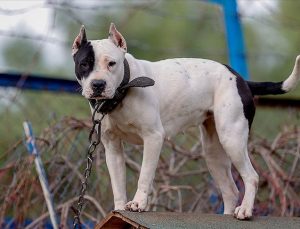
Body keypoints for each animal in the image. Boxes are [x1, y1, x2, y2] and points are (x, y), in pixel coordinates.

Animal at [72, 23, 300, 220]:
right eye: (84, 64)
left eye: (112, 63)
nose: (98, 84)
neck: (124, 90)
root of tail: (239, 78)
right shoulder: (112, 148)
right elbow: (117, 183)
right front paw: (119, 210)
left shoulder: (153, 138)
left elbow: (144, 175)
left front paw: (138, 204)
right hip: (213, 152)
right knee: (230, 190)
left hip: (232, 139)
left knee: (251, 176)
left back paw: (244, 210)